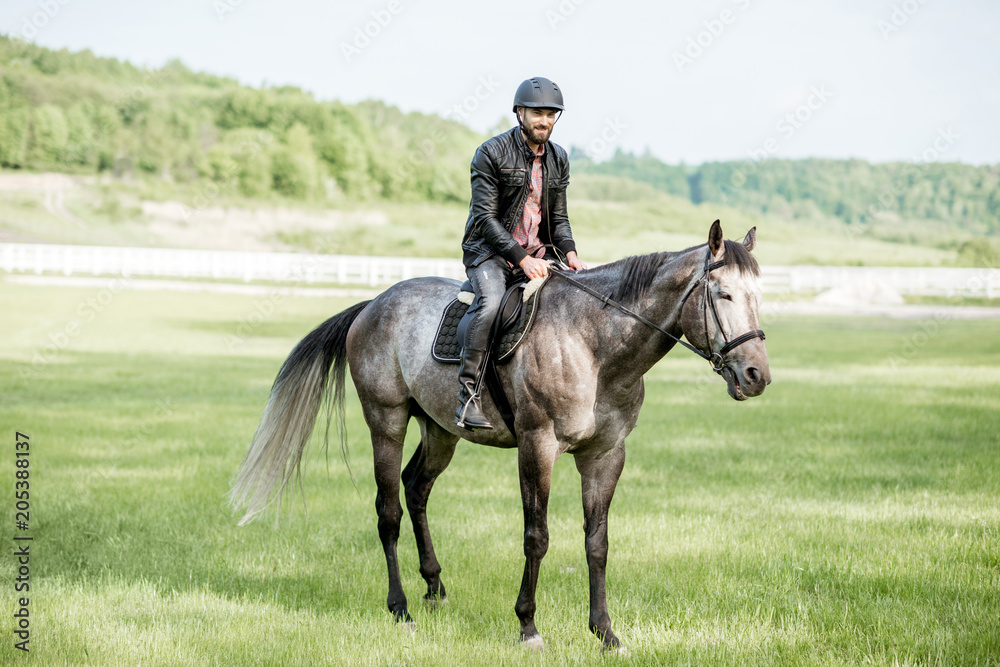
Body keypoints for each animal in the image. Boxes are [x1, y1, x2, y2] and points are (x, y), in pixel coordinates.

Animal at [230, 219, 768, 652]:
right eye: (722, 295)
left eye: (758, 297)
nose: (756, 375)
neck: (594, 344)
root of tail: (374, 304)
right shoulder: (538, 446)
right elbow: (537, 537)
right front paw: (528, 626)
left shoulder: (605, 455)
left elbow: (597, 543)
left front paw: (605, 633)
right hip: (386, 420)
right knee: (388, 511)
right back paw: (400, 607)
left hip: (440, 431)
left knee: (416, 488)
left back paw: (434, 587)